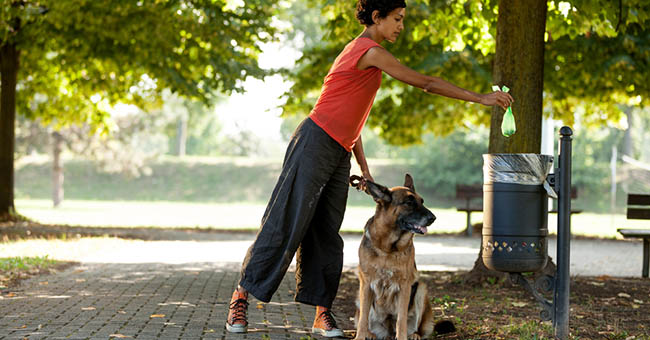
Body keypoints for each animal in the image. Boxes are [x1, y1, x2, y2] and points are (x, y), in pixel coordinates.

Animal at [350, 175, 456, 340]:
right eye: (408, 203)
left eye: (422, 201)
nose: (433, 218)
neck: (388, 249)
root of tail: (388, 331)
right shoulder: (366, 284)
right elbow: (363, 319)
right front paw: (360, 336)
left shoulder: (404, 286)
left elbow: (401, 320)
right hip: (359, 297)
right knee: (364, 318)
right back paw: (370, 333)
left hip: (421, 290)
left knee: (415, 326)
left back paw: (414, 334)